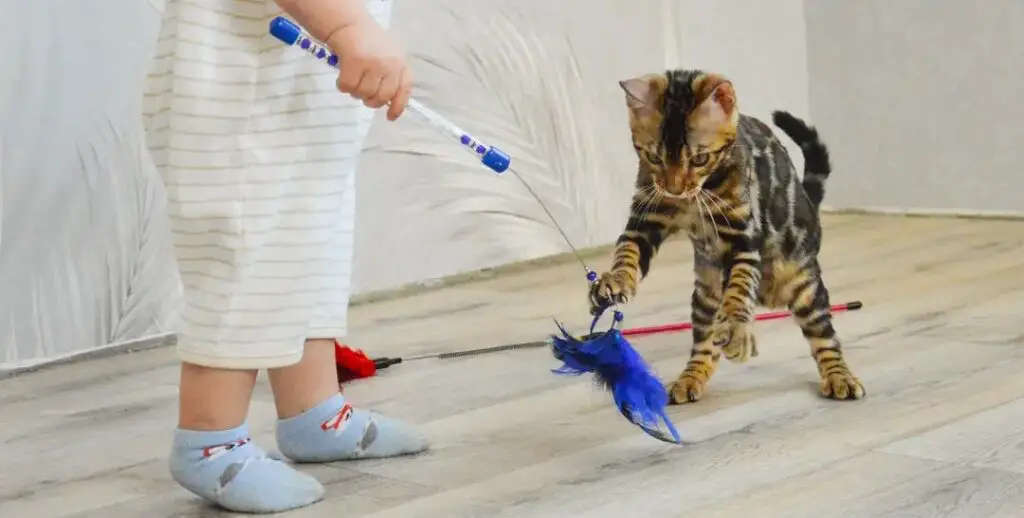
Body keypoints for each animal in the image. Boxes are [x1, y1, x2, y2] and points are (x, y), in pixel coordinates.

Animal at [593, 66, 864, 403]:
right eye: (654, 158)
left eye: (699, 159)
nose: (675, 189)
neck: (694, 198)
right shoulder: (645, 220)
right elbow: (626, 252)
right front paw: (615, 281)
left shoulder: (742, 238)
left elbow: (739, 287)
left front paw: (737, 328)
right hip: (706, 297)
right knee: (705, 343)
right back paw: (690, 379)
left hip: (805, 287)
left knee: (825, 338)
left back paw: (840, 377)